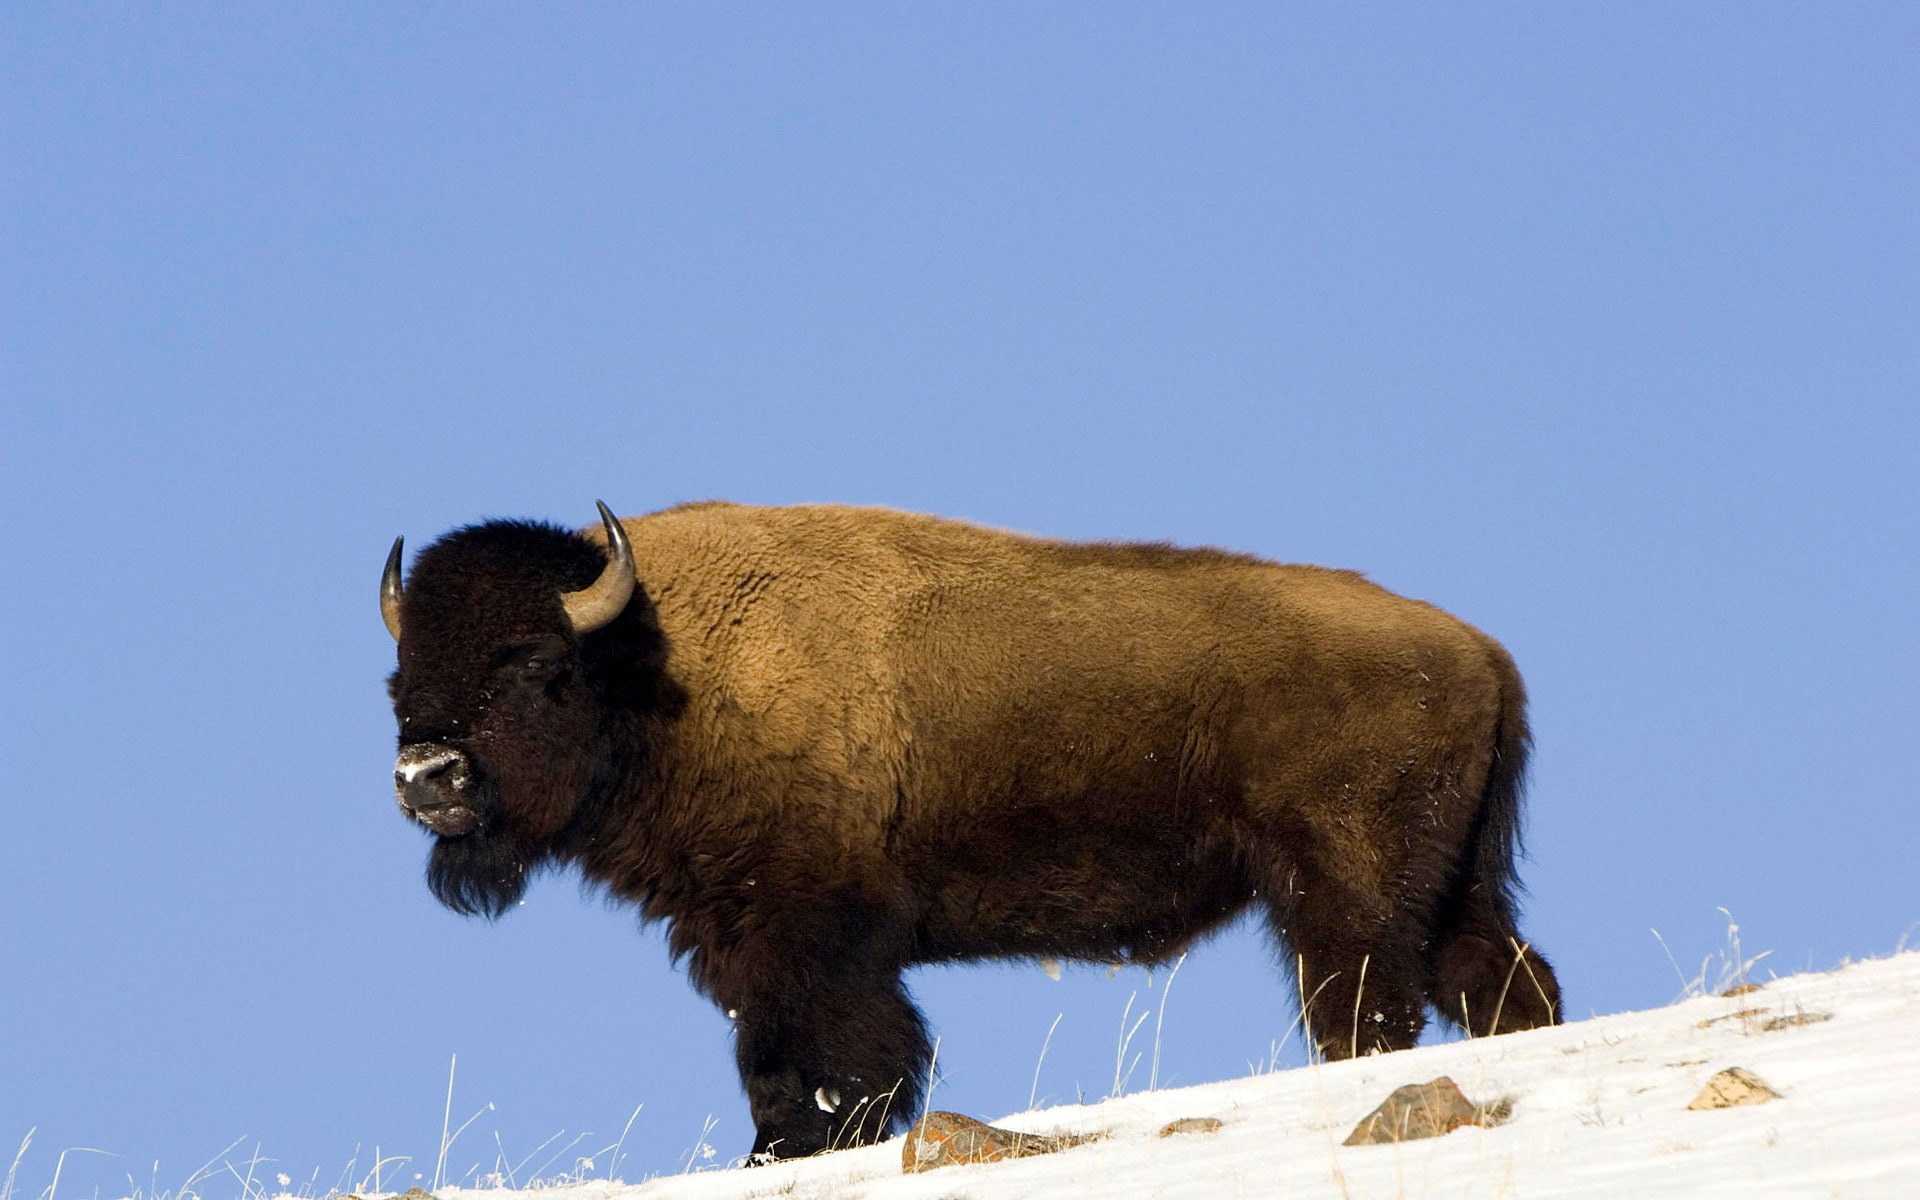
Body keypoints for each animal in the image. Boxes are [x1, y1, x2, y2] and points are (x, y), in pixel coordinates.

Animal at [381, 501, 1560, 1159]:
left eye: (535, 664)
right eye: (398, 677)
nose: (426, 777)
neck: (656, 664)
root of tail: (1482, 653)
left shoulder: (807, 939)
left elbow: (820, 1059)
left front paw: (791, 1148)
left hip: (1345, 890)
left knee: (1364, 1005)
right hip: (1453, 889)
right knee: (1502, 985)